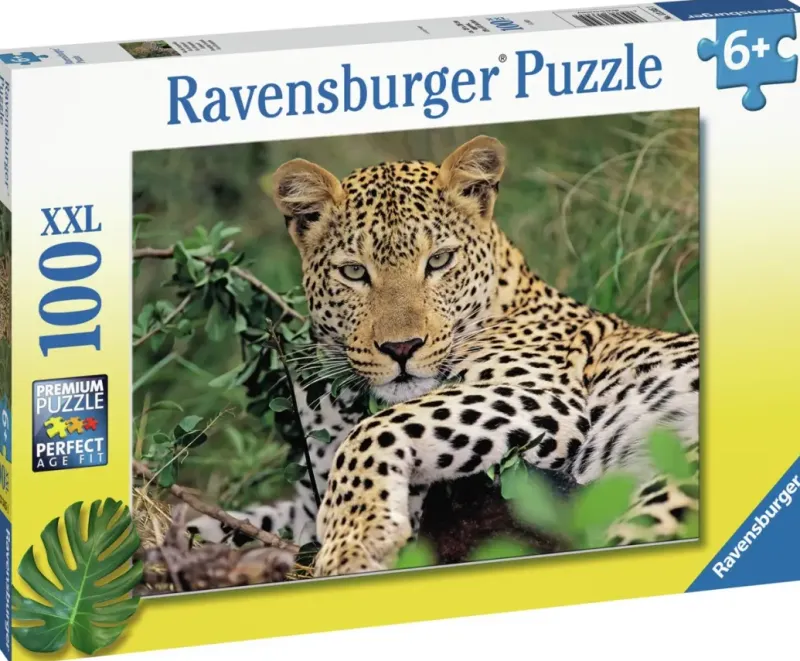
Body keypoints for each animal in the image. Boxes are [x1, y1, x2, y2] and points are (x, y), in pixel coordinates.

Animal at [187, 135, 700, 577]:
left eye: (438, 261)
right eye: (354, 272)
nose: (401, 348)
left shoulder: (543, 396)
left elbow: (374, 430)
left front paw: (355, 541)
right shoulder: (306, 500)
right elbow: (227, 519)